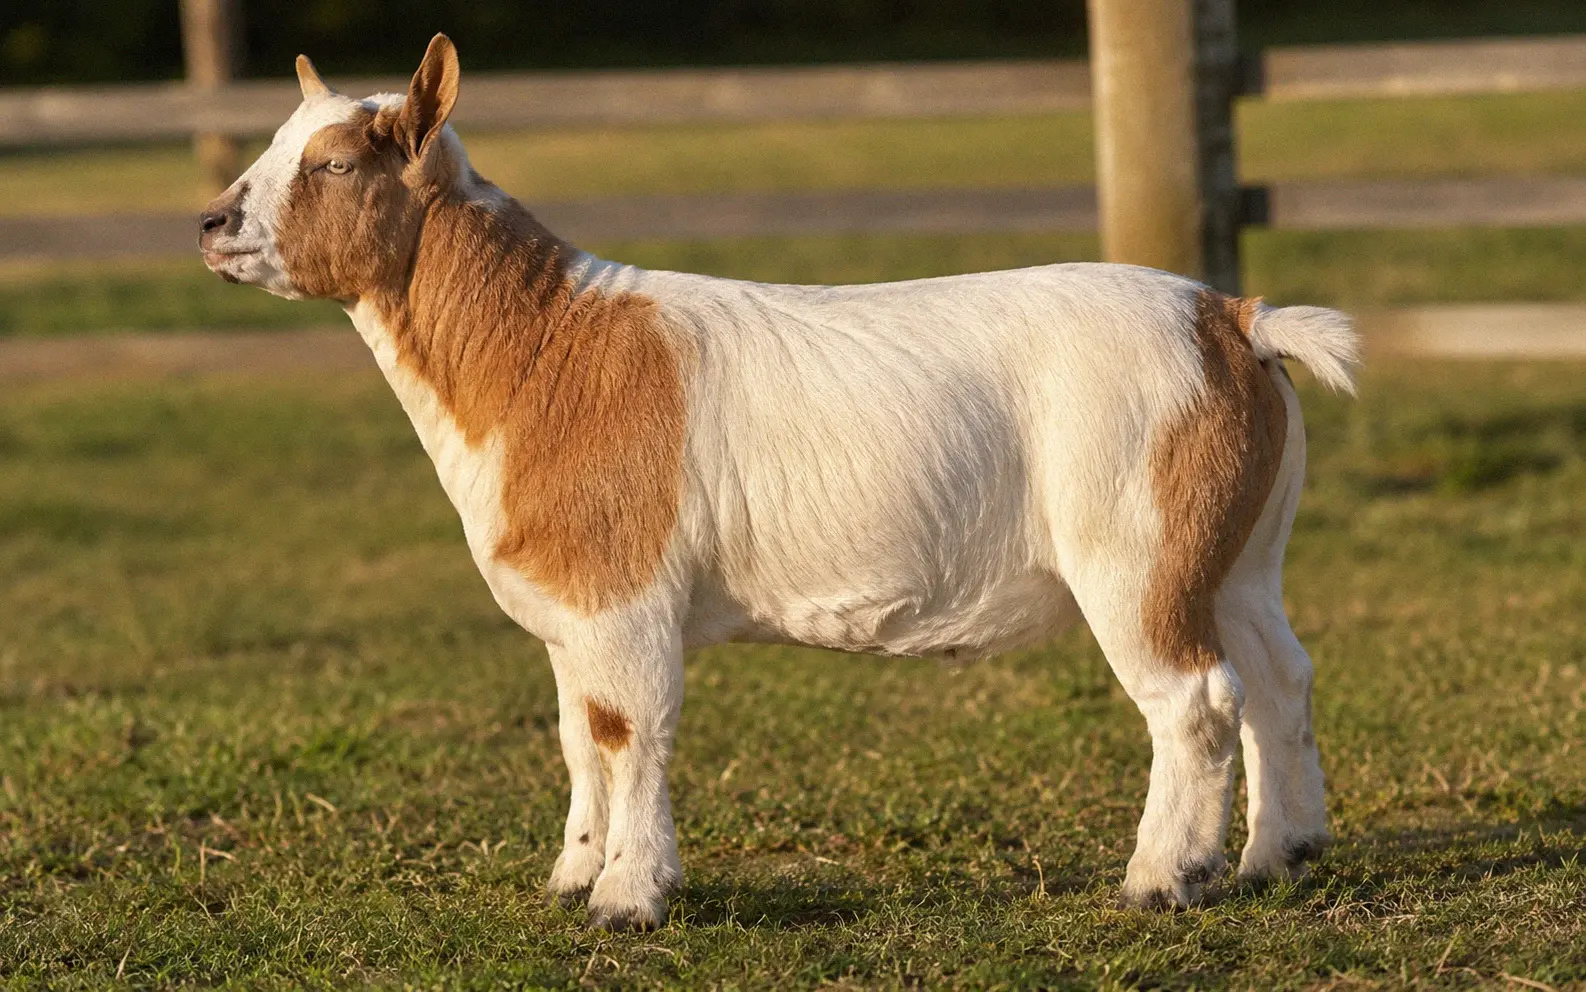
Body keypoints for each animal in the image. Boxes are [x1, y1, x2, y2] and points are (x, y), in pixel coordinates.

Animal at [199, 35, 1358, 930]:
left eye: (334, 164)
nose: (210, 221)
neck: (543, 346)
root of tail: (1232, 320)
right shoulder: (573, 610)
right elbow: (579, 735)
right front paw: (574, 874)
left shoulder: (625, 598)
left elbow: (629, 731)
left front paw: (627, 897)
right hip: (1234, 546)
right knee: (1278, 672)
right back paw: (1278, 853)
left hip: (1135, 540)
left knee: (1194, 697)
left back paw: (1163, 876)